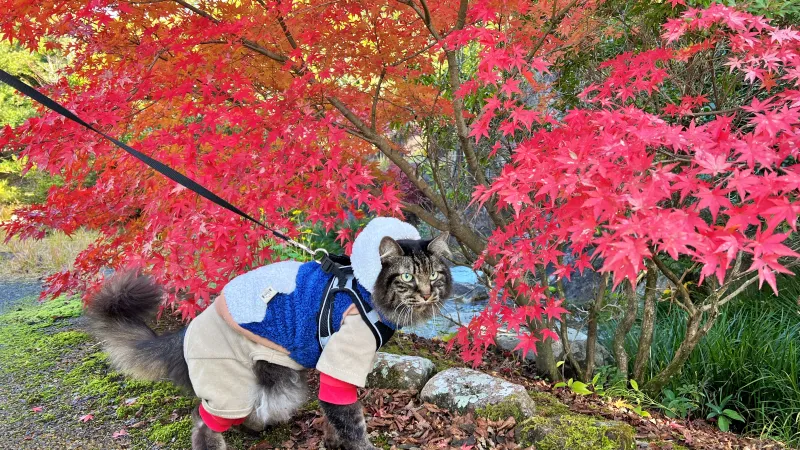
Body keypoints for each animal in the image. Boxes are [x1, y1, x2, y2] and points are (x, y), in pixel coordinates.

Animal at [86, 218, 454, 450]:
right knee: (204, 421)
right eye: (406, 277)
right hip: (235, 385)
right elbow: (352, 423)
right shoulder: (340, 362)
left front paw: (331, 439)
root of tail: (185, 331)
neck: (363, 289)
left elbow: (335, 415)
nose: (426, 293)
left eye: (435, 275)